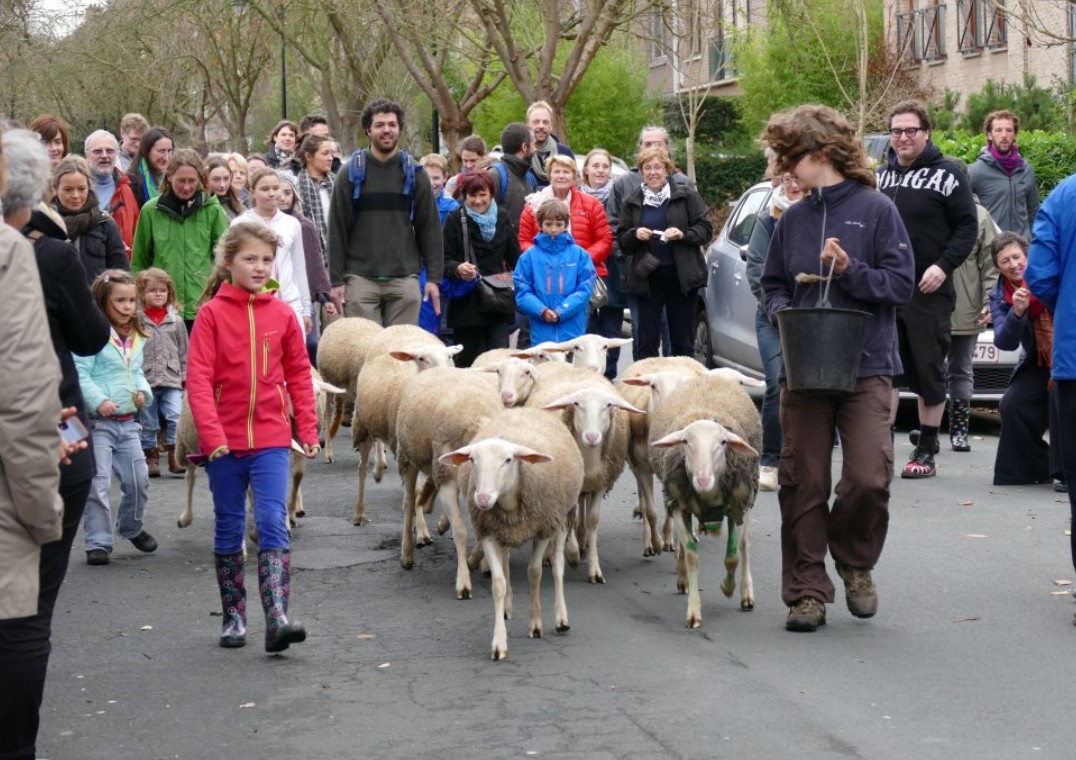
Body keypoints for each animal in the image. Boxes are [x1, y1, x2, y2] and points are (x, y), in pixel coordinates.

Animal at [350, 324, 462, 530]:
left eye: (450, 357)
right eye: (422, 359)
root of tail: (400, 326)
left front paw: (441, 521)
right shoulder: (406, 451)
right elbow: (415, 491)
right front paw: (422, 530)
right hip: (364, 425)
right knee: (362, 468)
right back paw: (359, 513)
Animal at [394, 367, 503, 597]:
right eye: (476, 459)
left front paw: (480, 562)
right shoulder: (447, 480)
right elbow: (460, 531)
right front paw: (463, 581)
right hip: (408, 458)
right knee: (409, 503)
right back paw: (407, 555)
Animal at [440, 407, 585, 661]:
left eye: (508, 460)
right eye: (472, 460)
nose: (483, 498)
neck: (508, 503)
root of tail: (525, 408)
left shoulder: (543, 529)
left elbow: (534, 573)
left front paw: (535, 624)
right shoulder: (487, 532)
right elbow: (499, 583)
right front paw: (499, 643)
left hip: (562, 517)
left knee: (558, 566)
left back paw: (561, 618)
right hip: (504, 533)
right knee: (506, 564)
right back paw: (507, 608)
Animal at [617, 356, 709, 556]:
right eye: (653, 386)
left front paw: (668, 540)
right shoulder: (641, 466)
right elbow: (651, 511)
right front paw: (656, 543)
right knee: (644, 500)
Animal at [647, 373, 763, 629]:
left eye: (722, 443)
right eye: (686, 442)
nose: (702, 480)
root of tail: (712, 376)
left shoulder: (736, 506)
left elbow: (733, 556)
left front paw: (727, 588)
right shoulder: (678, 506)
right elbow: (691, 554)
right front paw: (693, 612)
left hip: (749, 497)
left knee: (746, 545)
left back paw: (746, 594)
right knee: (683, 546)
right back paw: (682, 578)